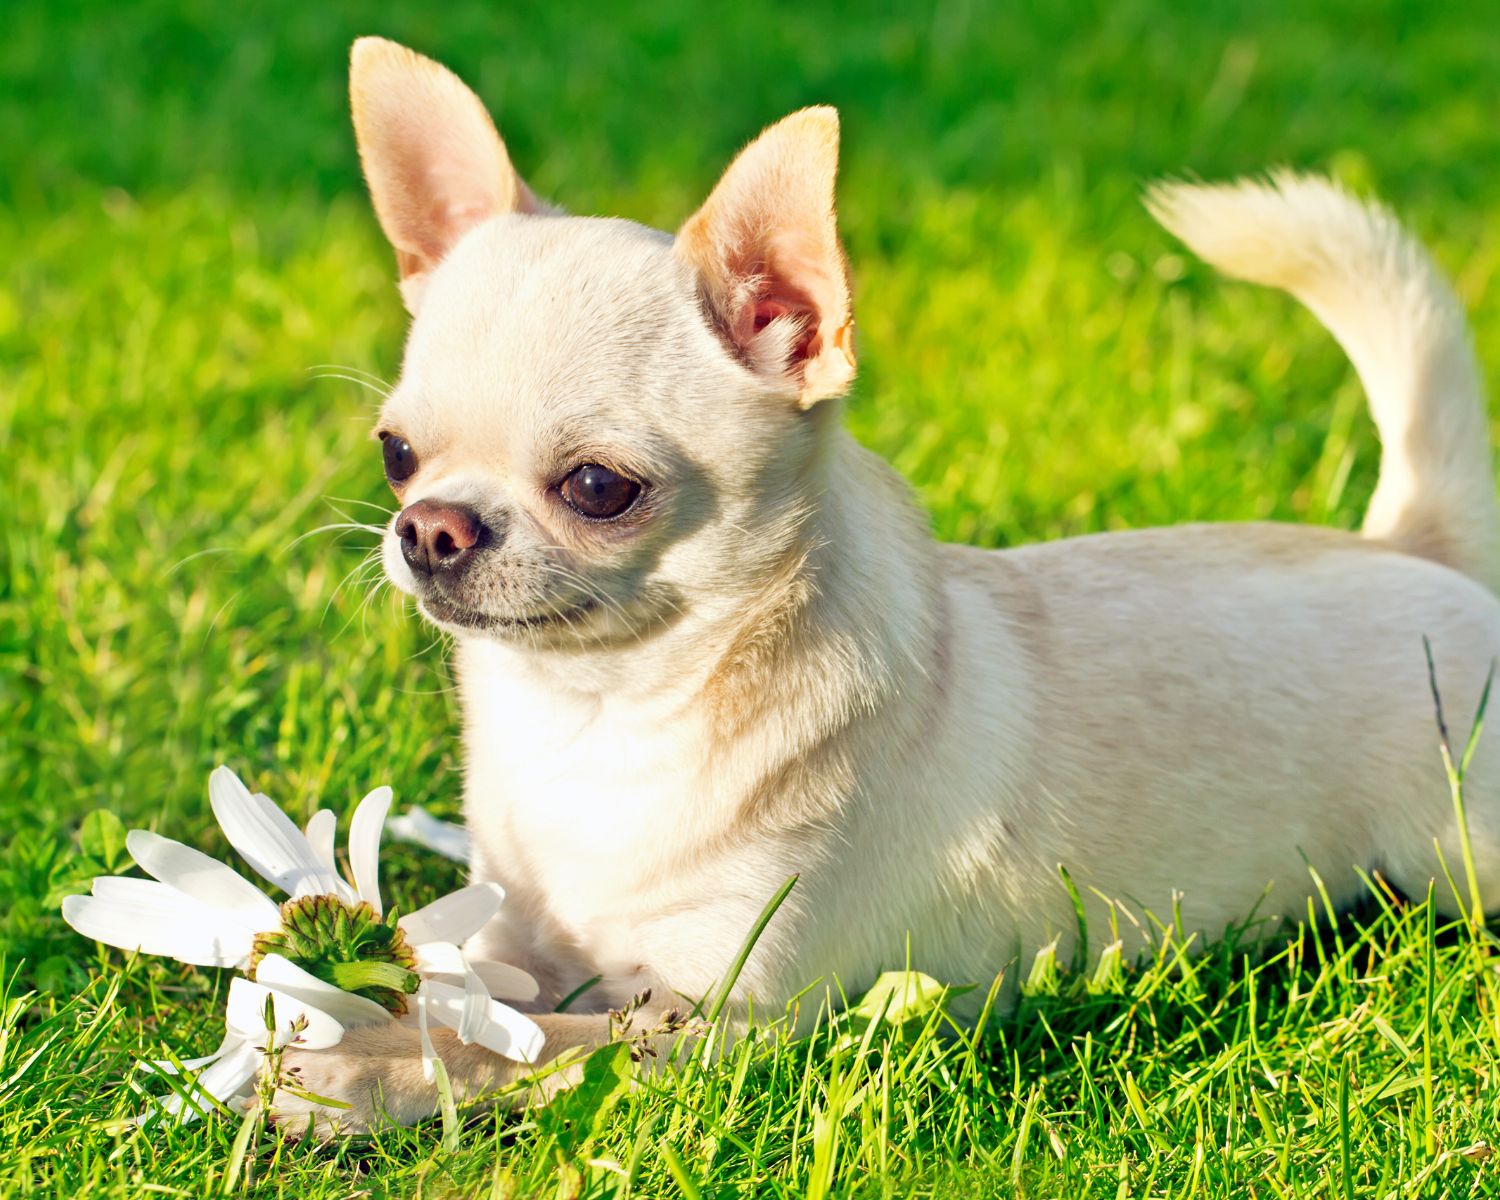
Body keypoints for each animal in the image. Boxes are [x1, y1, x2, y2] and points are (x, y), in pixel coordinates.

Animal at [276, 35, 1500, 1128]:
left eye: (596, 486)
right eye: (395, 455)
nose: (429, 529)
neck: (604, 713)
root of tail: (1413, 545)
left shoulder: (719, 1024)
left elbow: (521, 1046)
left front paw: (347, 1068)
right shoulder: (516, 933)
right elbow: (471, 993)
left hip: (1461, 848)